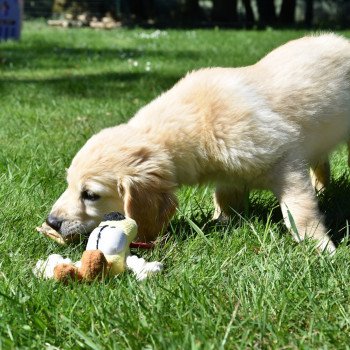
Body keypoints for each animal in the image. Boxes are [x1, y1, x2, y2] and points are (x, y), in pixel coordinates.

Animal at [47, 33, 350, 252]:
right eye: (69, 183)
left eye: (91, 195)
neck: (200, 123)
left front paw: (321, 248)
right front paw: (221, 222)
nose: (51, 222)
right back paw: (323, 188)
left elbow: (300, 210)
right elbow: (226, 199)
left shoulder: (285, 162)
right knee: (321, 163)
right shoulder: (229, 175)